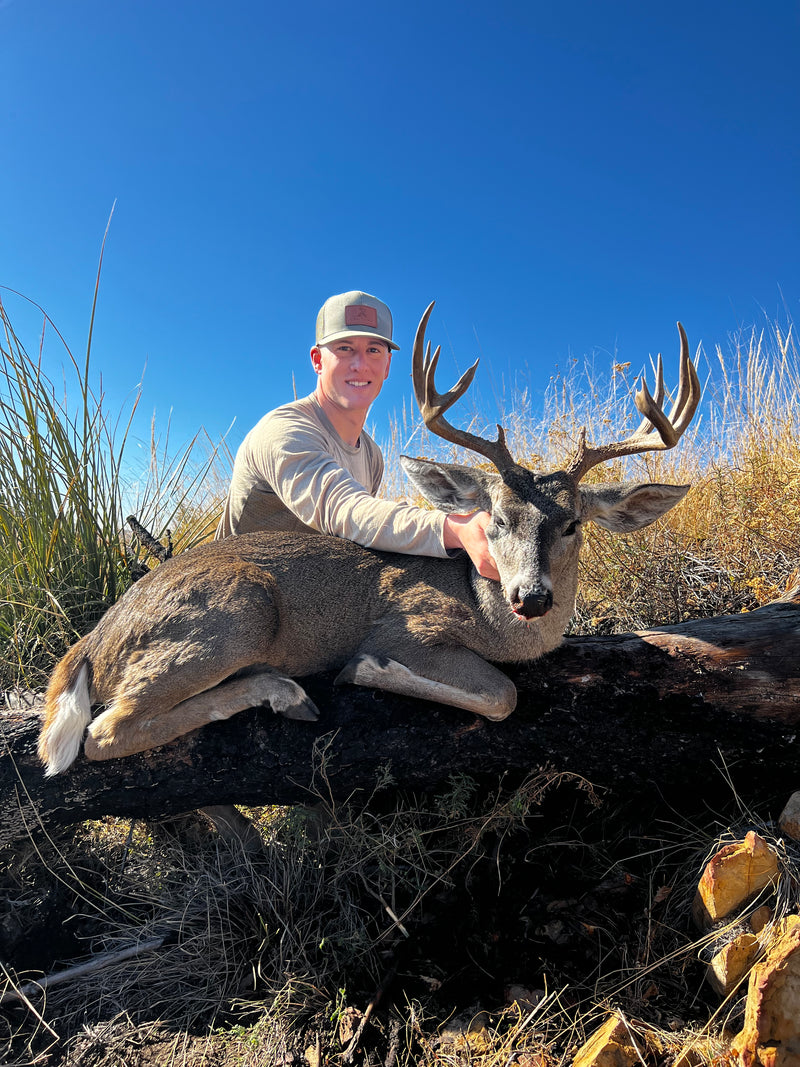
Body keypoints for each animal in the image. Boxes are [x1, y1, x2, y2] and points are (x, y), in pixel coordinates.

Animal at [38, 303, 701, 776]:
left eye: (571, 524)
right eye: (496, 520)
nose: (531, 596)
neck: (493, 618)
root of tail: (95, 638)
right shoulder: (411, 625)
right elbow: (501, 694)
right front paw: (366, 668)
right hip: (239, 610)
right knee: (103, 732)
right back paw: (285, 691)